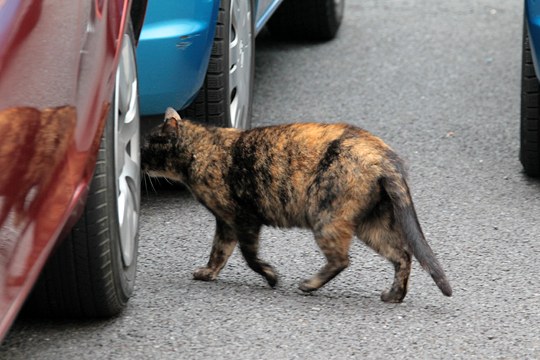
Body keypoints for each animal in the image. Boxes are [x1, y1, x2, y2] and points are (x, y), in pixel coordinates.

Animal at [140, 107, 452, 300]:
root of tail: (382, 153)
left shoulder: (242, 218)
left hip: (326, 217)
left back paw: (309, 285)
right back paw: (393, 296)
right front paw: (208, 273)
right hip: (370, 224)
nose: (136, 157)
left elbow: (248, 256)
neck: (201, 149)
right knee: (402, 255)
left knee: (343, 259)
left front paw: (270, 277)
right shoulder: (226, 222)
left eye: (146, 146)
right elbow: (218, 252)